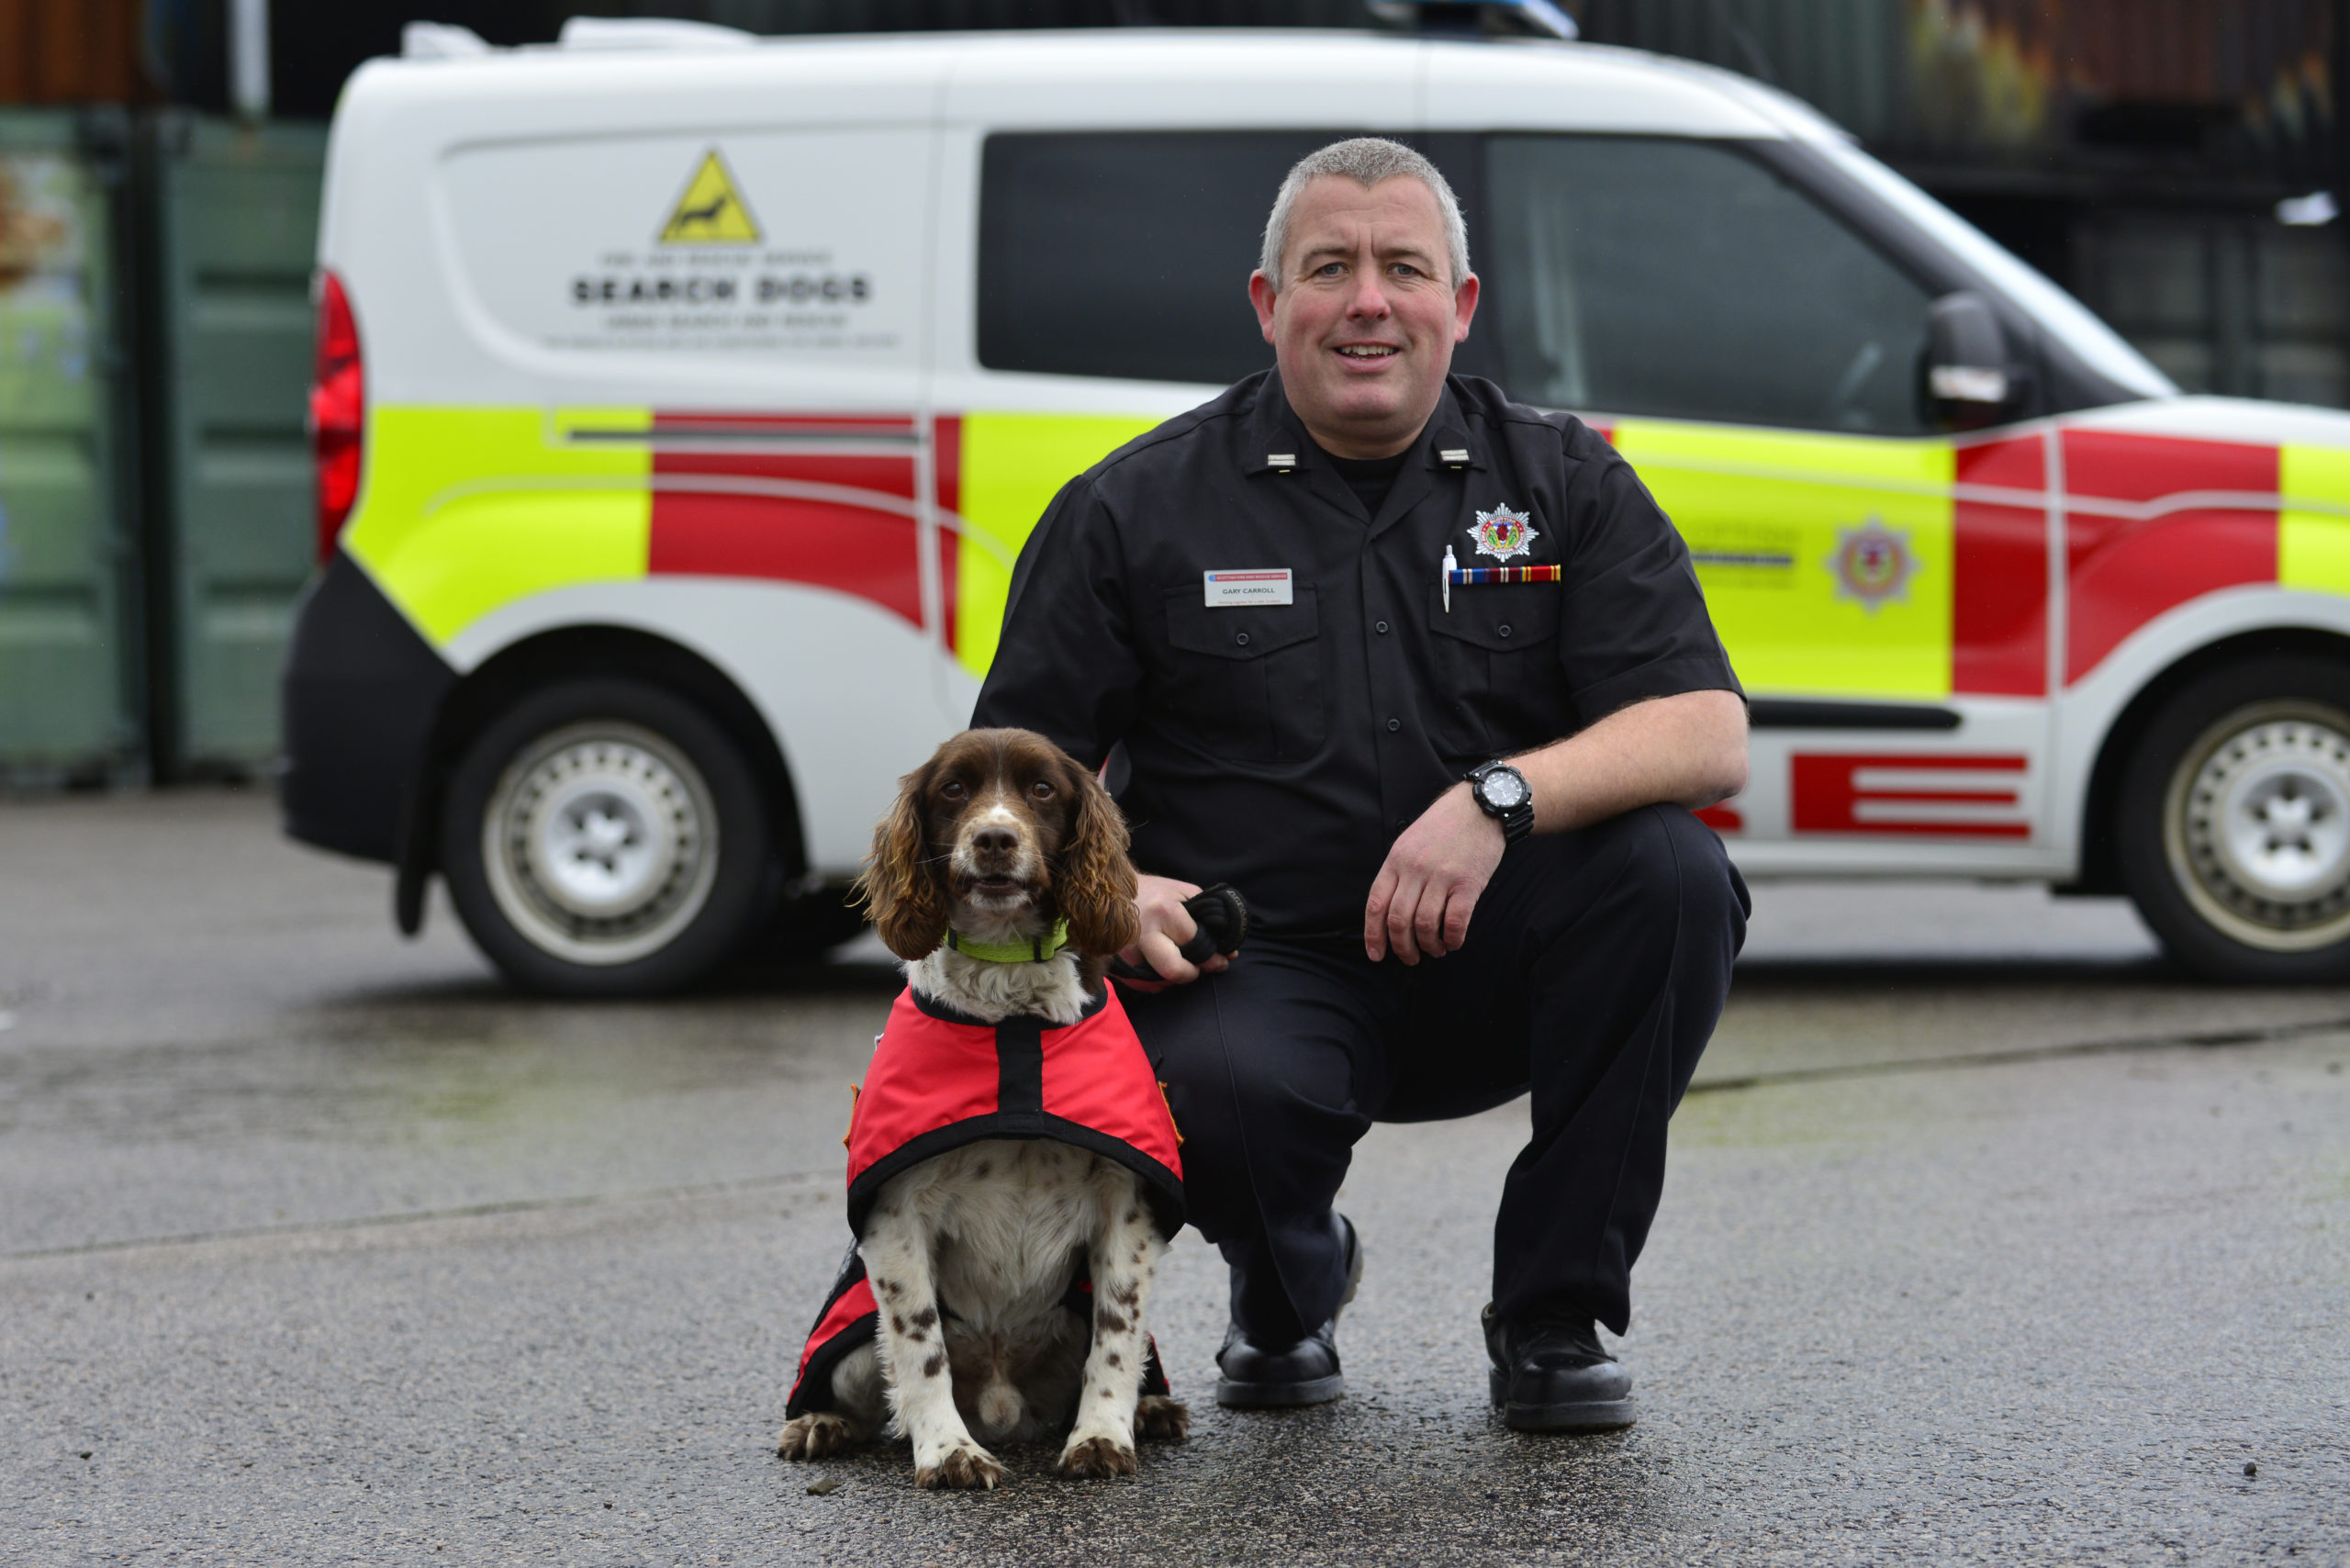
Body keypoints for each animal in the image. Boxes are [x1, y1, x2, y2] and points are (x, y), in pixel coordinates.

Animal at [779, 728, 1193, 1495]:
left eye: (1042, 790)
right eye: (953, 790)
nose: (995, 839)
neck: (1010, 1014)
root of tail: (1003, 1397)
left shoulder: (1125, 1209)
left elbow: (1117, 1335)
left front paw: (1101, 1436)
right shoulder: (896, 1215)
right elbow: (919, 1347)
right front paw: (948, 1453)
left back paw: (1150, 1410)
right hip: (849, 1345)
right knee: (868, 1385)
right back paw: (821, 1424)